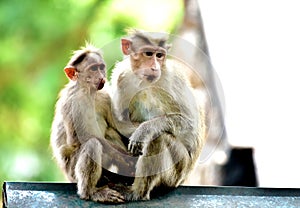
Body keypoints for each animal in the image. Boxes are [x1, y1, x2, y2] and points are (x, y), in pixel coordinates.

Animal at [50, 44, 127, 203]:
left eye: (101, 67)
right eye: (93, 69)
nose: (101, 76)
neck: (88, 92)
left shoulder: (105, 97)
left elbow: (118, 128)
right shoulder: (73, 101)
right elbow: (78, 139)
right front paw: (124, 157)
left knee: (109, 132)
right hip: (72, 172)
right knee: (93, 144)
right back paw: (90, 192)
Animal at [110, 29, 206, 200]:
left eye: (160, 55)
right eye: (148, 54)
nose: (155, 67)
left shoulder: (173, 79)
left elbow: (189, 124)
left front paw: (143, 130)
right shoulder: (121, 76)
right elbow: (119, 119)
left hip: (177, 170)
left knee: (158, 138)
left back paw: (137, 192)